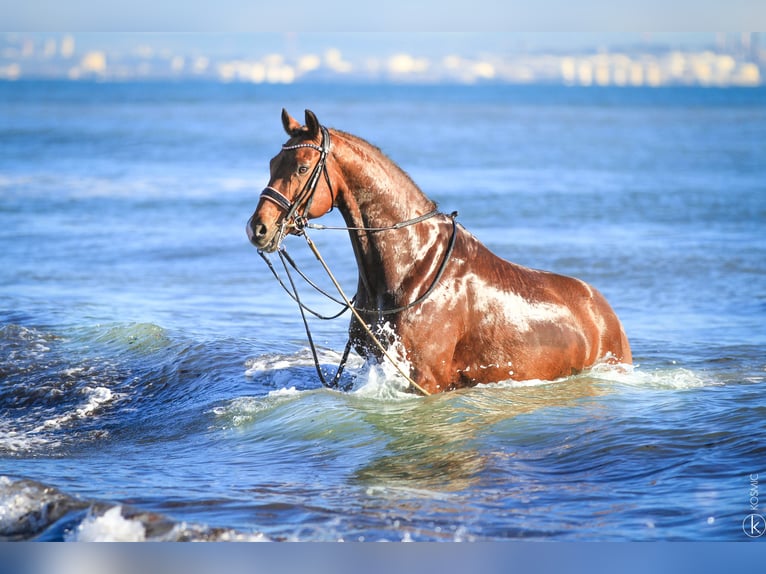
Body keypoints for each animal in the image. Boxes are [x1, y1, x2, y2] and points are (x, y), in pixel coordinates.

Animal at [249, 108, 632, 396]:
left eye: (301, 167)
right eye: (271, 164)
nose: (258, 228)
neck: (411, 265)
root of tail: (605, 312)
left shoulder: (425, 380)